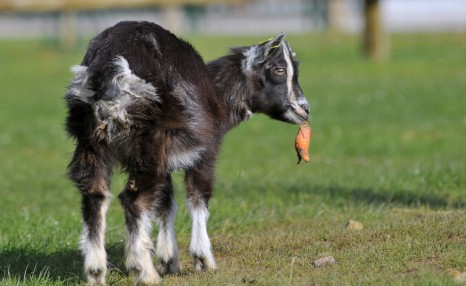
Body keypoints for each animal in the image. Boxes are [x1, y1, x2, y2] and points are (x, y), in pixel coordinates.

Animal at [64, 21, 306, 284]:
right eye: (279, 70)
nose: (304, 109)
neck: (218, 95)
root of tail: (110, 66)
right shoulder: (205, 150)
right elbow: (199, 196)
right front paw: (204, 260)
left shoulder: (167, 160)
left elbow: (166, 203)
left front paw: (169, 260)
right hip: (147, 142)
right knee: (134, 199)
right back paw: (144, 271)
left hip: (92, 142)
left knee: (95, 195)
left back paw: (96, 272)